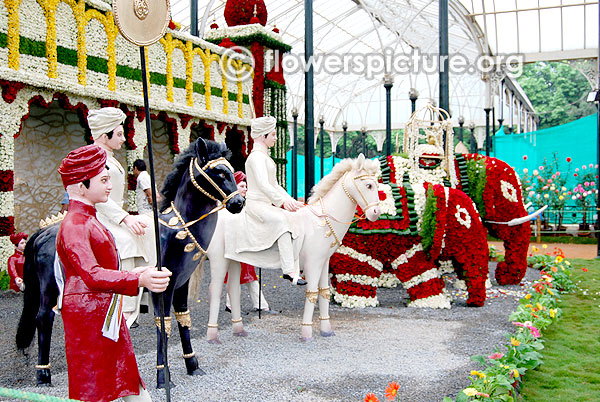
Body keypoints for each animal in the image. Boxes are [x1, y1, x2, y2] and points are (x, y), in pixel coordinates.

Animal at [14, 138, 244, 386]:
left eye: (230, 170)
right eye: (219, 172)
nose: (239, 202)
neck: (178, 227)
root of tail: (44, 232)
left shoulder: (181, 283)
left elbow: (183, 319)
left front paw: (192, 365)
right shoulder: (163, 286)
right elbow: (163, 323)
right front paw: (163, 377)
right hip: (50, 287)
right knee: (44, 319)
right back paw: (44, 375)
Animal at [206, 154, 382, 342]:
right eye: (369, 185)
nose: (376, 213)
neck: (321, 222)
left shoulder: (323, 263)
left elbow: (324, 292)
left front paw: (327, 330)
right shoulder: (313, 264)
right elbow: (312, 293)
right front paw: (307, 334)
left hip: (233, 260)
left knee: (233, 290)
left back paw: (239, 330)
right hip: (219, 260)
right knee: (215, 291)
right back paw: (212, 336)